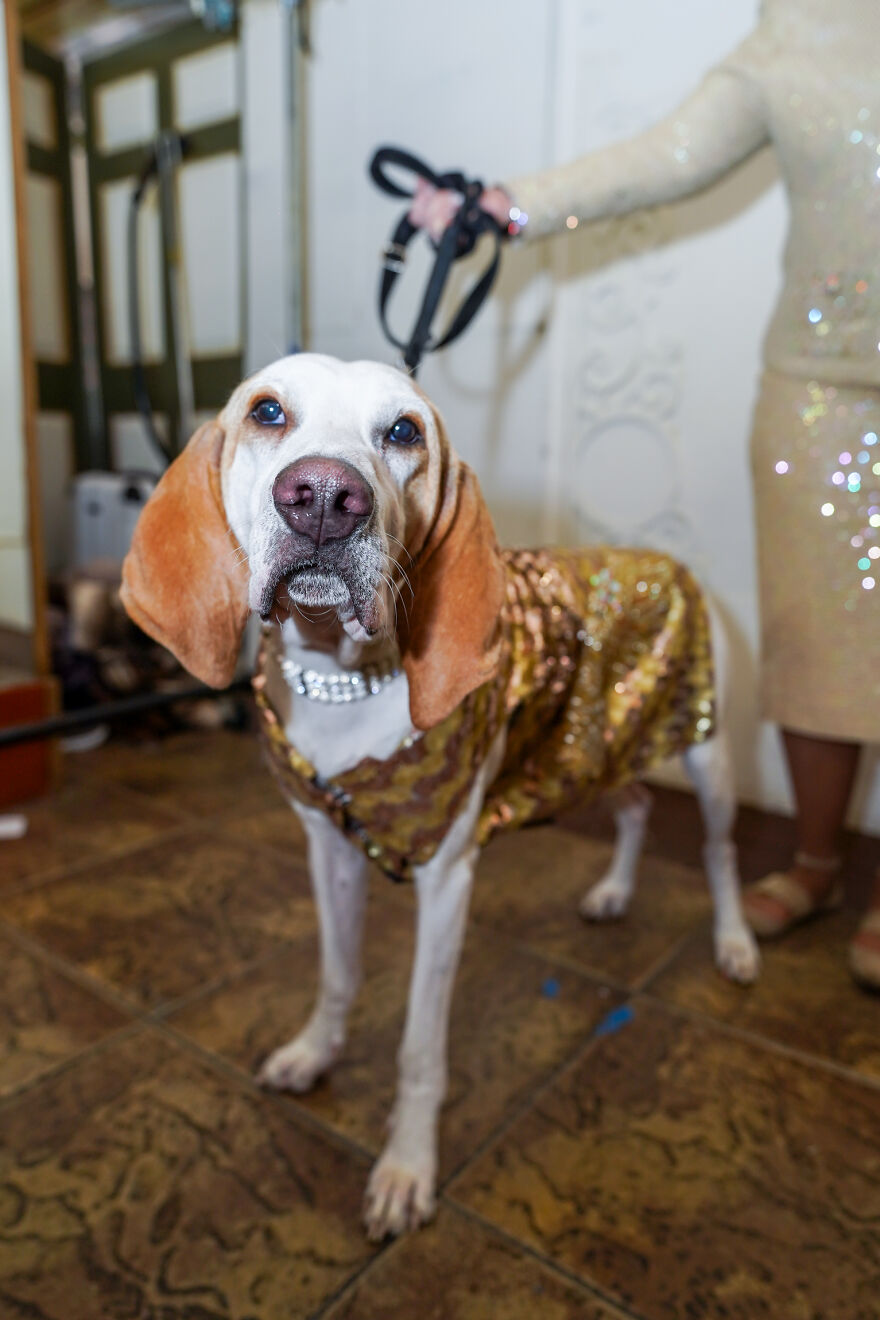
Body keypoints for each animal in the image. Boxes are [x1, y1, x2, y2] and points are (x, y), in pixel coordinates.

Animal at [120, 348, 759, 1235]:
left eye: (403, 431)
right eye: (267, 411)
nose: (325, 497)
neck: (344, 682)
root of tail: (664, 560)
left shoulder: (446, 883)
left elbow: (420, 1048)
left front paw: (406, 1165)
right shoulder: (328, 852)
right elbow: (338, 975)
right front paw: (316, 1053)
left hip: (707, 754)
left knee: (719, 851)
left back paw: (736, 942)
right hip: (586, 750)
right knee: (633, 807)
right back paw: (614, 892)